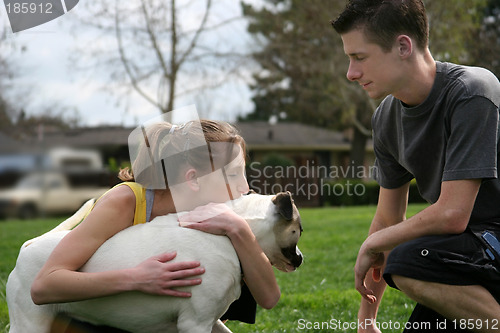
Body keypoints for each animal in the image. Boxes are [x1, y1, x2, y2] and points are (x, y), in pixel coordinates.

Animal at [7, 191, 302, 330]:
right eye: (299, 229)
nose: (300, 259)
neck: (229, 233)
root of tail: (28, 246)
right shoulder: (195, 323)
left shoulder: (208, 321)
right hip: (30, 323)